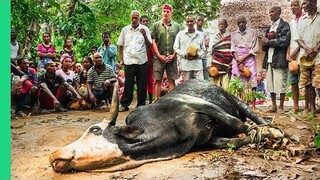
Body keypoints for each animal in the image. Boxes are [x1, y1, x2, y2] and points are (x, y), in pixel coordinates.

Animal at [48, 80, 284, 173]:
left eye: (95, 130)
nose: (53, 154)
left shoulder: (201, 105)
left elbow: (237, 123)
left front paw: (272, 135)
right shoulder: (207, 140)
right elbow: (236, 140)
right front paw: (259, 138)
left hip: (236, 100)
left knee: (250, 116)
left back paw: (274, 128)